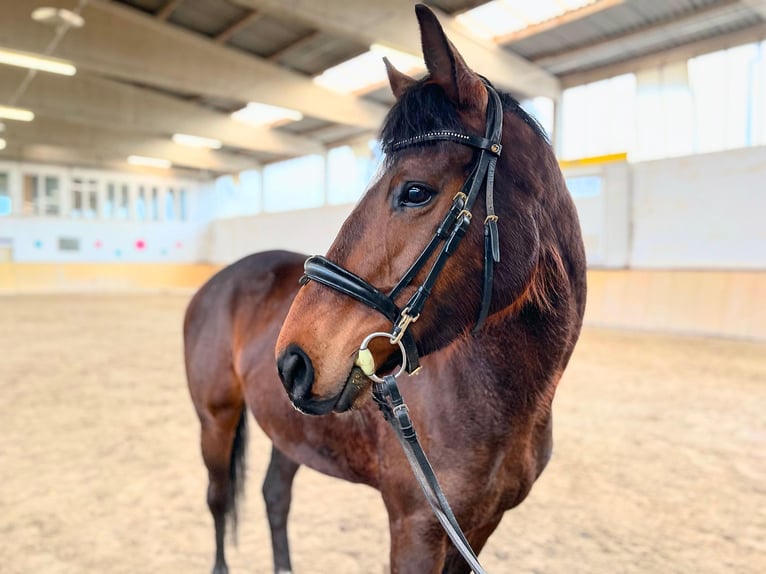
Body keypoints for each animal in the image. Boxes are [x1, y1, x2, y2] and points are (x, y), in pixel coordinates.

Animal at [186, 5, 588, 574]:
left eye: (415, 191)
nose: (293, 360)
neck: (503, 402)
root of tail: (218, 281)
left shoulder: (477, 529)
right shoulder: (416, 527)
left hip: (289, 429)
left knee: (274, 496)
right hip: (215, 421)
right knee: (220, 501)